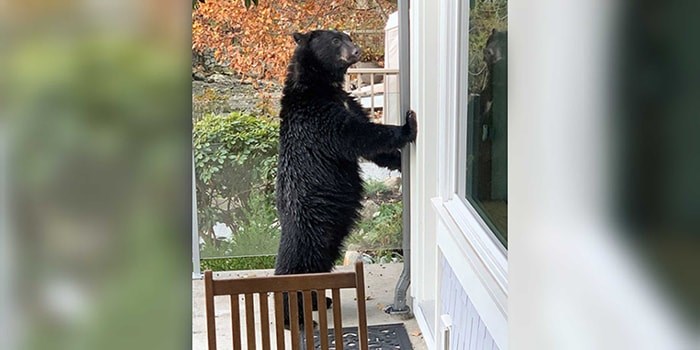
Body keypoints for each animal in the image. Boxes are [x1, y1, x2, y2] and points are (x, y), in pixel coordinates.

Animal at [274, 30, 416, 328]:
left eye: (347, 37)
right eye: (335, 40)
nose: (357, 50)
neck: (319, 86)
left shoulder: (348, 102)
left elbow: (370, 146)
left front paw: (398, 160)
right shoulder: (317, 117)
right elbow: (357, 135)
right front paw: (407, 126)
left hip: (329, 236)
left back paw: (321, 300)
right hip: (310, 229)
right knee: (297, 264)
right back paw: (295, 317)